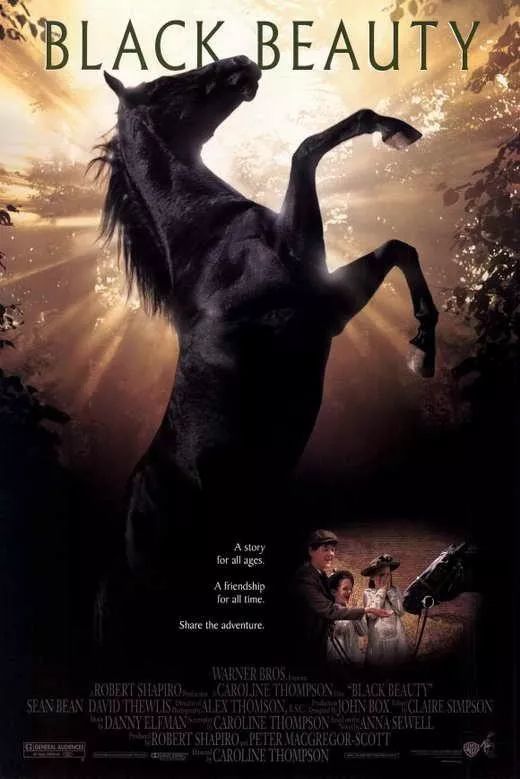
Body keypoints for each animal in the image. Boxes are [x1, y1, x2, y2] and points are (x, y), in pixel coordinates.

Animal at [92, 56, 438, 583]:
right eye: (165, 83)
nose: (241, 63)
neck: (213, 238)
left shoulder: (331, 300)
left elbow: (400, 248)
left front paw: (423, 349)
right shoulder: (317, 300)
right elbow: (305, 151)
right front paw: (395, 132)